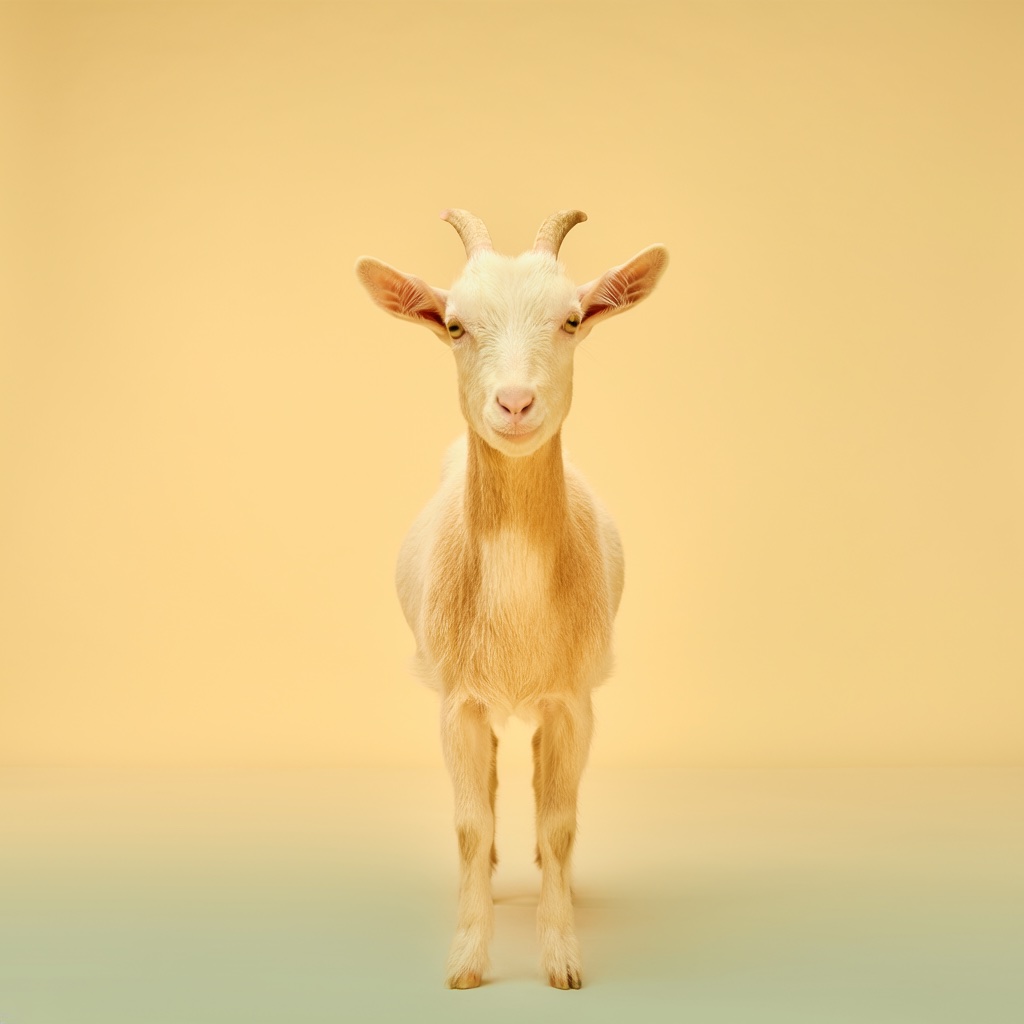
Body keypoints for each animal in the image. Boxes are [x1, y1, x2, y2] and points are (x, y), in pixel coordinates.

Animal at [355, 210, 668, 989]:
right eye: (455, 326)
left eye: (573, 318)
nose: (516, 403)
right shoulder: (457, 703)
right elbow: (471, 824)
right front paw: (468, 959)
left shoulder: (573, 702)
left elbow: (558, 825)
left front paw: (562, 958)